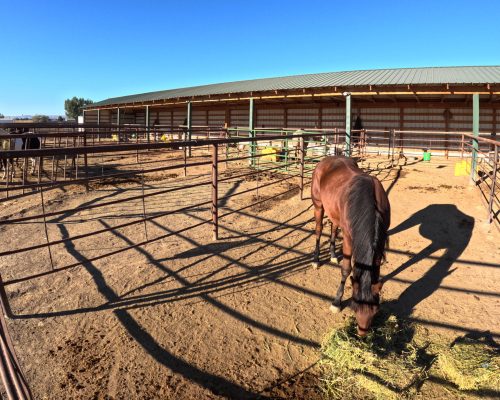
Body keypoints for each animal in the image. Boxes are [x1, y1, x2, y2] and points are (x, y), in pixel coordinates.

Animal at [308, 155, 390, 334]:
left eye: (375, 310)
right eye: (354, 306)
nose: (362, 333)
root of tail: (326, 160)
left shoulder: (380, 240)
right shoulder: (348, 238)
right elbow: (346, 269)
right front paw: (336, 302)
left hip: (334, 212)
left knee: (333, 228)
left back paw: (332, 256)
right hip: (318, 205)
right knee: (318, 230)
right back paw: (316, 260)